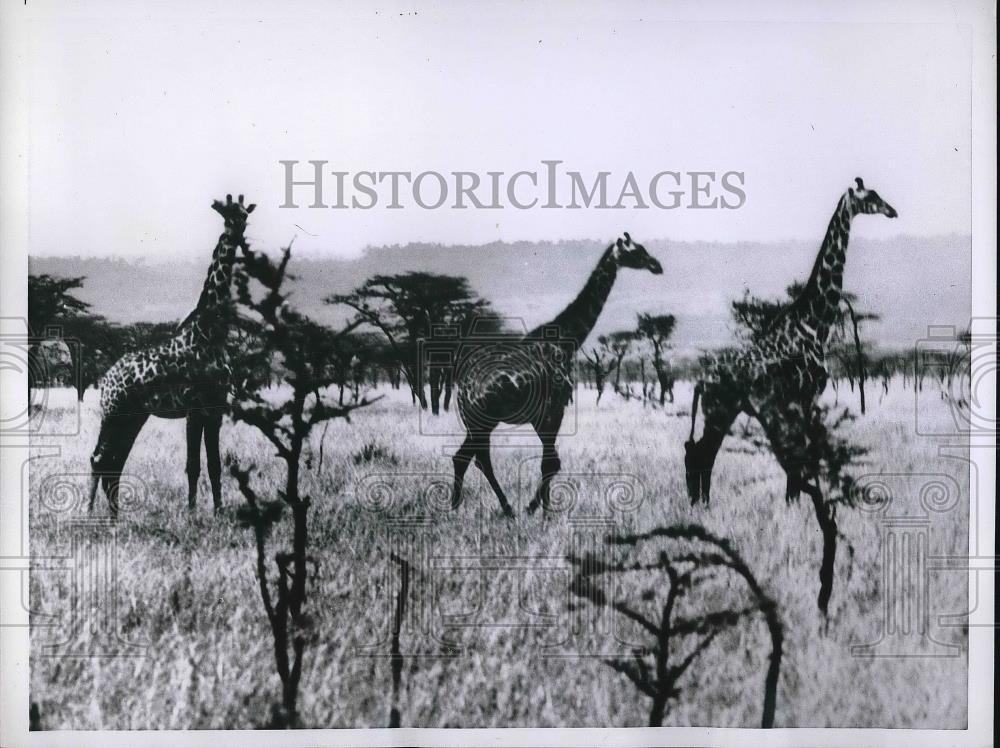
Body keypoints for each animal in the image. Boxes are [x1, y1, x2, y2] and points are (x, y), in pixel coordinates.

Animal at [88, 196, 256, 516]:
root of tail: (106, 378)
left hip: (133, 417)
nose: (238, 234)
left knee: (114, 462)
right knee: (99, 459)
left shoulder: (215, 408)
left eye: (245, 216)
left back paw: (115, 518)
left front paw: (218, 511)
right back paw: (91, 515)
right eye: (228, 217)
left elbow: (214, 464)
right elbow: (193, 464)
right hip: (112, 412)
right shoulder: (194, 408)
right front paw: (191, 514)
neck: (210, 330)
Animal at [454, 232, 664, 516]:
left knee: (464, 457)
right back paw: (506, 509)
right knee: (479, 458)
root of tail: (461, 390)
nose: (656, 265)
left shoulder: (548, 414)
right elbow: (551, 462)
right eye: (636, 250)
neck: (567, 338)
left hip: (476, 422)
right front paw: (539, 510)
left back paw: (457, 506)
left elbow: (551, 462)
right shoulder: (554, 409)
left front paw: (542, 508)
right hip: (482, 421)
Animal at [688, 177, 900, 612]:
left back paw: (701, 508)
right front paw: (799, 514)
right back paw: (704, 511)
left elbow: (797, 464)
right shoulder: (804, 398)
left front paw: (793, 510)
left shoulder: (796, 403)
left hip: (721, 410)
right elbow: (799, 464)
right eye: (870, 197)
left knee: (701, 453)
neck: (813, 323)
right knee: (702, 454)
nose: (893, 211)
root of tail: (702, 378)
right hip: (720, 409)